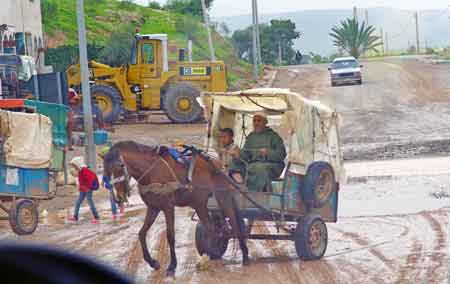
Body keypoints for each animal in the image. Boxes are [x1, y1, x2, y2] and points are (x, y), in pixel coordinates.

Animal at [102, 141, 250, 276]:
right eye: (106, 171)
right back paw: (210, 256)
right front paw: (152, 262)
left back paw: (245, 256)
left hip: (223, 197)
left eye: (120, 166)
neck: (152, 171)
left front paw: (172, 266)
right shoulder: (153, 207)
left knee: (234, 224)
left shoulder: (168, 207)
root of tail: (219, 165)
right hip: (199, 203)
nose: (119, 197)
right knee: (211, 228)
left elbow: (170, 235)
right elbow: (142, 233)